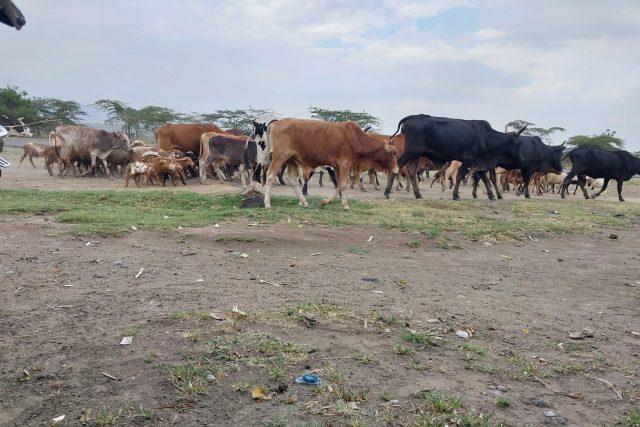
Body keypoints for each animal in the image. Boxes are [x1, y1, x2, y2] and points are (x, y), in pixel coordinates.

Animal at [262, 118, 398, 211]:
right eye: (393, 153)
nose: (397, 168)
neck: (356, 138)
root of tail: (276, 123)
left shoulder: (338, 166)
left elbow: (338, 185)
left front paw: (325, 202)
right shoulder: (344, 164)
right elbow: (342, 184)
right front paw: (345, 205)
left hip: (292, 160)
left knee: (292, 180)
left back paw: (304, 202)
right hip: (280, 157)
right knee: (270, 175)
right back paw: (267, 203)